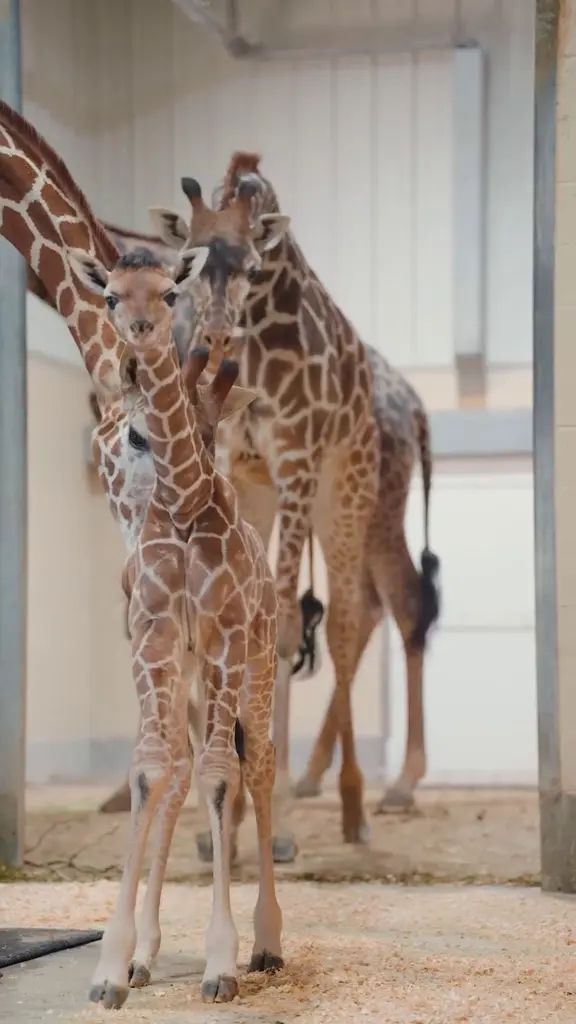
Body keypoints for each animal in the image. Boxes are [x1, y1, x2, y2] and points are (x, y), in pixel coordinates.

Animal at [67, 244, 283, 1009]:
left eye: (167, 293)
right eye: (110, 296)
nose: (137, 330)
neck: (186, 502)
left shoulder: (222, 638)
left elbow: (222, 774)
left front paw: (222, 961)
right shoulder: (158, 639)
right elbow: (151, 771)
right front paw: (112, 966)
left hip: (258, 658)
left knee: (258, 763)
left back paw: (269, 941)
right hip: (188, 669)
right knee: (183, 767)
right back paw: (146, 956)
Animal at [152, 153, 440, 829]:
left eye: (250, 267)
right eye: (186, 261)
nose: (212, 340)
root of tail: (415, 410)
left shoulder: (297, 463)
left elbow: (282, 625)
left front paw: (272, 806)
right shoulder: (235, 466)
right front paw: (225, 814)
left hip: (358, 496)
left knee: (377, 608)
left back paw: (378, 790)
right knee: (366, 609)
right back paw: (329, 782)